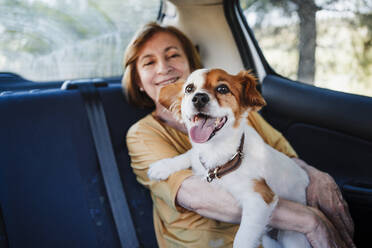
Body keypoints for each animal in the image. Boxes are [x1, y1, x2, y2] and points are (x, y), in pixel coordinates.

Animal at [148, 68, 310, 248]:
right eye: (189, 89)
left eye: (222, 89)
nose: (199, 98)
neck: (216, 151)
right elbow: (190, 154)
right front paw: (163, 166)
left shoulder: (259, 199)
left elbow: (243, 239)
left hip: (292, 237)